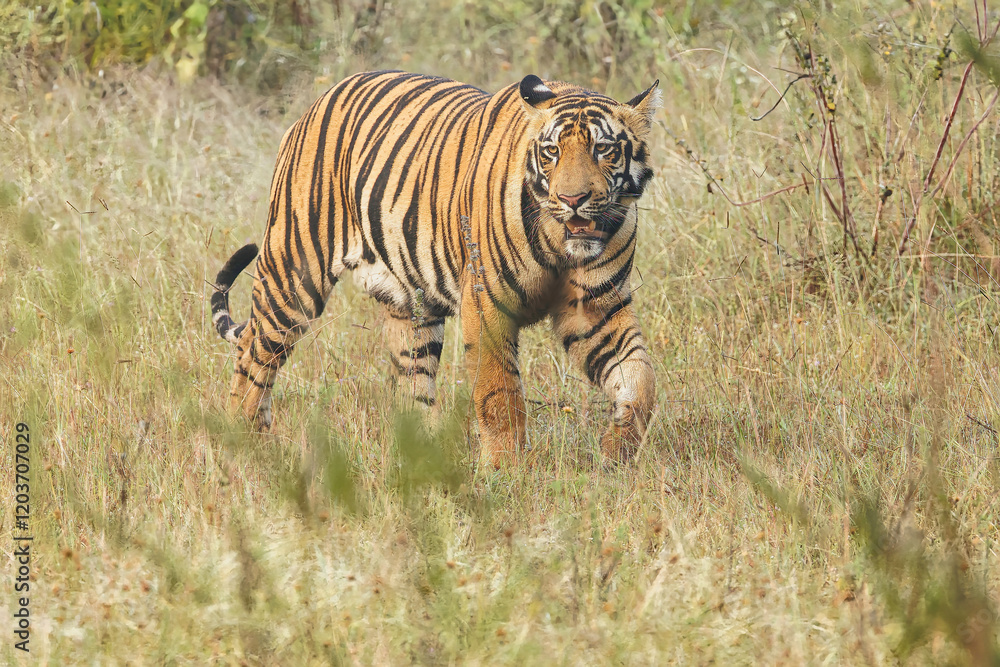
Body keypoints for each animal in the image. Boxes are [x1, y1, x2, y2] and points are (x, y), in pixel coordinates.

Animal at [211, 70, 660, 467]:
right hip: (292, 275)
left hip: (411, 311)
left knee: (413, 386)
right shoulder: (487, 304)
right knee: (253, 353)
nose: (572, 199)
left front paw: (616, 455)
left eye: (603, 150)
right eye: (551, 152)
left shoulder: (596, 310)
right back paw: (242, 442)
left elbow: (639, 382)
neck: (562, 244)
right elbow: (498, 394)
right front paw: (506, 471)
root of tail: (317, 101)